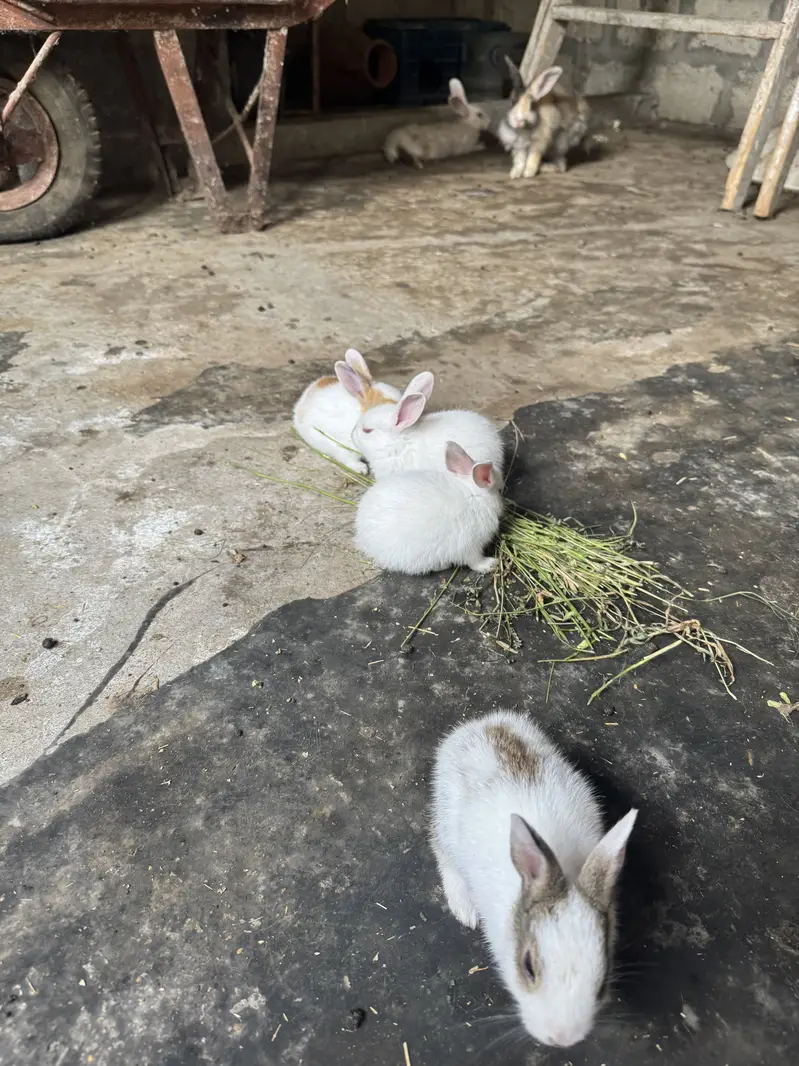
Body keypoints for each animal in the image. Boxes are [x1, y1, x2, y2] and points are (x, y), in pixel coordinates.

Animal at [354, 441, 503, 574]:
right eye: (500, 490)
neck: (474, 496)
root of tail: (362, 536)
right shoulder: (470, 545)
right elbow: (474, 561)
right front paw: (490, 564)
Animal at [430, 709, 638, 1048]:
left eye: (603, 979)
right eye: (528, 966)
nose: (562, 1038)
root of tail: (487, 722)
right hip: (445, 824)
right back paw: (464, 908)